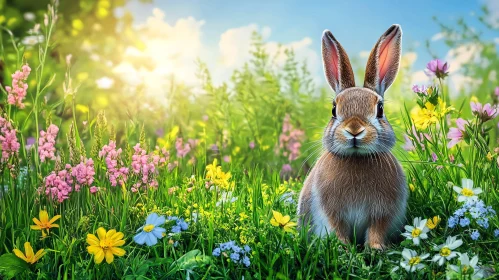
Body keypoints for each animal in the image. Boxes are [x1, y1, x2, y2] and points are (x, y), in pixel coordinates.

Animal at [298, 25, 408, 250]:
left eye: (380, 109)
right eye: (333, 109)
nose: (354, 129)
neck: (357, 158)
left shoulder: (382, 213)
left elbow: (376, 230)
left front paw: (375, 248)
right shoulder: (331, 212)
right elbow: (337, 228)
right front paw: (343, 248)